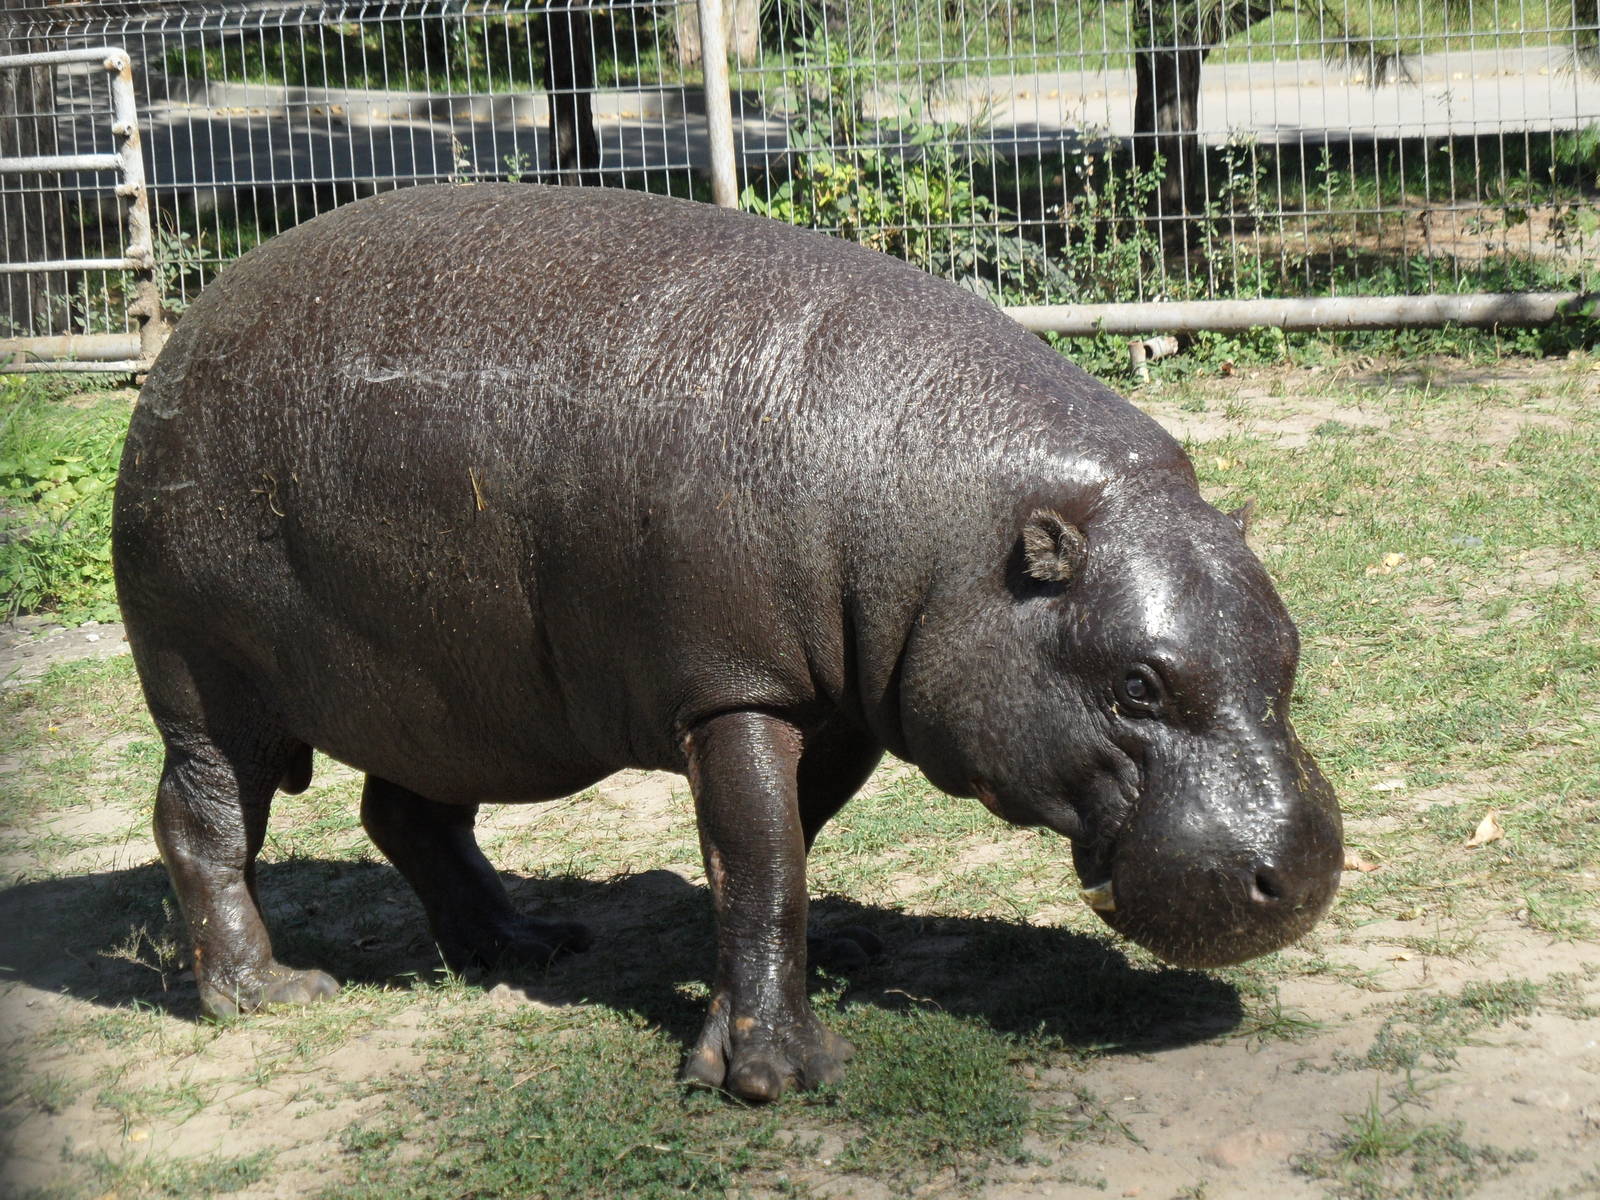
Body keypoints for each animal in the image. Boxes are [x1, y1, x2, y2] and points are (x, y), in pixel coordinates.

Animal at [113, 183, 1342, 1102]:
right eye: (1136, 685)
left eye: (1288, 647)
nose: (1306, 871)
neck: (947, 520)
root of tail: (185, 335)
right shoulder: (734, 691)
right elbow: (761, 859)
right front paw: (779, 1074)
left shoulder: (833, 702)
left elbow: (788, 842)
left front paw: (832, 959)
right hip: (208, 681)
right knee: (203, 823)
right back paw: (269, 993)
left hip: (439, 694)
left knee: (407, 816)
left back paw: (524, 943)